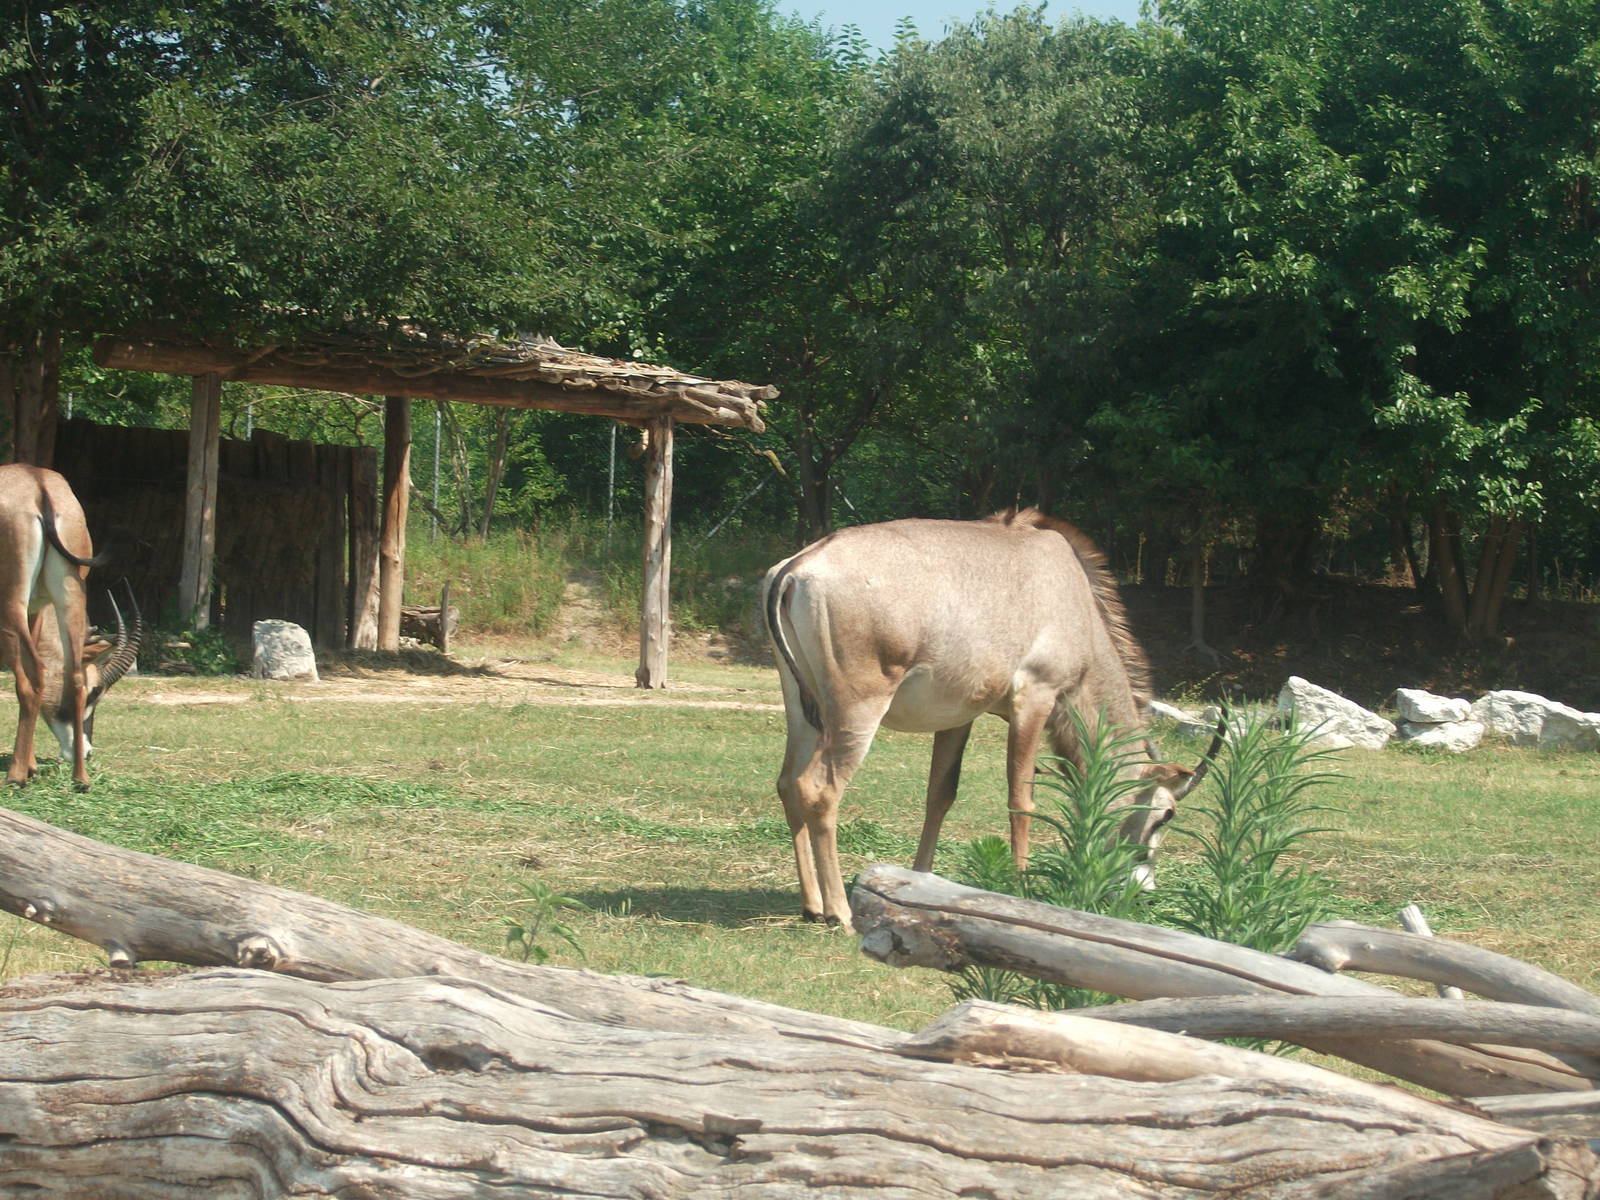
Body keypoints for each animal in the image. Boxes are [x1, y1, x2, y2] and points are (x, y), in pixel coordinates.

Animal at [0, 465, 138, 790]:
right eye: (95, 691)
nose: (86, 750)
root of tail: (38, 486)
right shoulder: (36, 610)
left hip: (11, 605)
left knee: (31, 675)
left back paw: (16, 777)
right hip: (69, 595)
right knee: (69, 674)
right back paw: (80, 779)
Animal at [762, 509, 1220, 930]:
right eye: (1167, 814)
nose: (1144, 893)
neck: (1073, 595)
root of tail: (797, 569)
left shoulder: (959, 715)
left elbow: (940, 794)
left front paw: (921, 882)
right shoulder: (1034, 697)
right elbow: (1022, 799)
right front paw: (1021, 890)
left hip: (802, 705)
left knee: (787, 782)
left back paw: (812, 904)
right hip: (857, 708)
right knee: (820, 789)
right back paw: (839, 911)